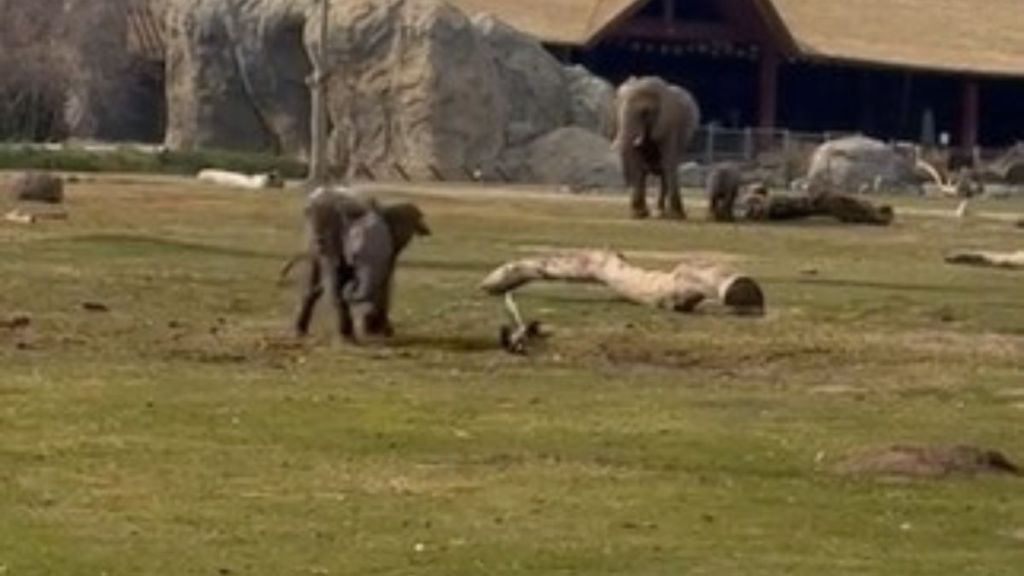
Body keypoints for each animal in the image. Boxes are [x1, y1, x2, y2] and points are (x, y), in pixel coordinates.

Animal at [610, 75, 700, 218]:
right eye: (617, 112)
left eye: (645, 112)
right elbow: (638, 165)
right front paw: (639, 214)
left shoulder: (669, 125)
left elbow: (668, 163)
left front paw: (677, 216)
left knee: (666, 170)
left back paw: (662, 213)